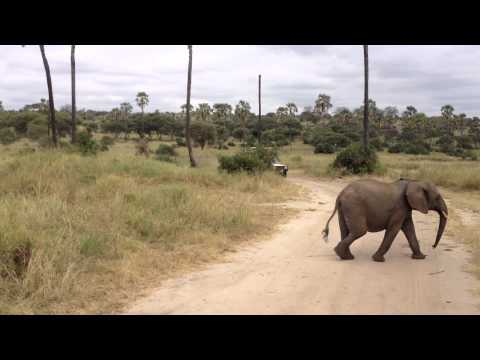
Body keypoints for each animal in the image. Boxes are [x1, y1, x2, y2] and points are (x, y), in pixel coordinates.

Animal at [320, 179, 448, 262]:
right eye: (437, 197)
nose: (433, 246)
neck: (414, 182)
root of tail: (341, 193)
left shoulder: (405, 209)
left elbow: (409, 229)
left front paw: (421, 258)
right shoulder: (399, 208)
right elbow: (394, 230)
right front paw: (378, 259)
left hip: (345, 208)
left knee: (345, 231)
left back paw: (346, 257)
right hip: (354, 206)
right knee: (359, 231)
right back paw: (343, 254)